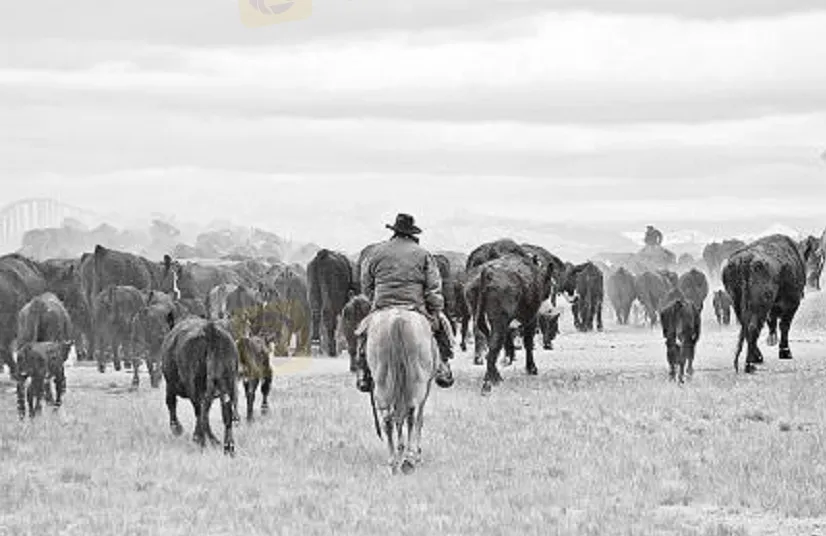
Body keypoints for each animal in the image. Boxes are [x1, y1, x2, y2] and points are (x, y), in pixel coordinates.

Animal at [161, 317, 239, 456]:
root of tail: (210, 329)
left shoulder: (169, 384)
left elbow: (170, 402)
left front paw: (177, 428)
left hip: (194, 384)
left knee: (200, 409)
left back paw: (201, 440)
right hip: (228, 380)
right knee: (225, 411)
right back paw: (228, 446)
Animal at [357, 307, 438, 475]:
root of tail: (397, 320)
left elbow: (398, 419)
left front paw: (400, 449)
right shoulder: (425, 389)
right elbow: (418, 420)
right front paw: (414, 453)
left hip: (382, 383)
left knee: (389, 418)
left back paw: (393, 461)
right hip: (418, 385)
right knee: (412, 414)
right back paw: (408, 459)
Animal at [467, 254, 555, 394]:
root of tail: (487, 273)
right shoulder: (531, 318)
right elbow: (528, 342)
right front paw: (531, 368)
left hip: (479, 316)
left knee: (488, 341)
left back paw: (494, 376)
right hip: (499, 320)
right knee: (494, 346)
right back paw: (488, 383)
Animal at [722, 234, 815, 373]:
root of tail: (746, 259)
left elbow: (772, 323)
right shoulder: (792, 304)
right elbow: (784, 326)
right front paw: (785, 352)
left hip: (737, 303)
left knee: (746, 328)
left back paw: (756, 358)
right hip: (760, 305)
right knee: (753, 327)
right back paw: (750, 364)